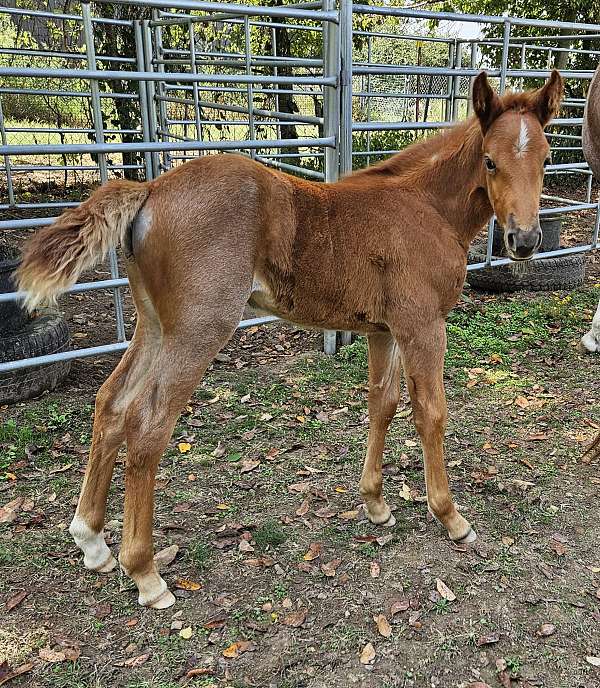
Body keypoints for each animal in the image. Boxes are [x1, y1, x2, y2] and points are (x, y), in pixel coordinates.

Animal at [16, 70, 563, 609]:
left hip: (154, 328)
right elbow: (430, 412)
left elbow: (382, 404)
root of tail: (149, 189)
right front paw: (451, 517)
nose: (525, 240)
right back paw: (146, 574)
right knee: (147, 424)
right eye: (489, 161)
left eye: (546, 157)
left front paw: (376, 504)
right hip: (197, 331)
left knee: (110, 403)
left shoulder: (383, 331)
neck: (425, 208)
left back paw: (92, 541)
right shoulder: (422, 326)